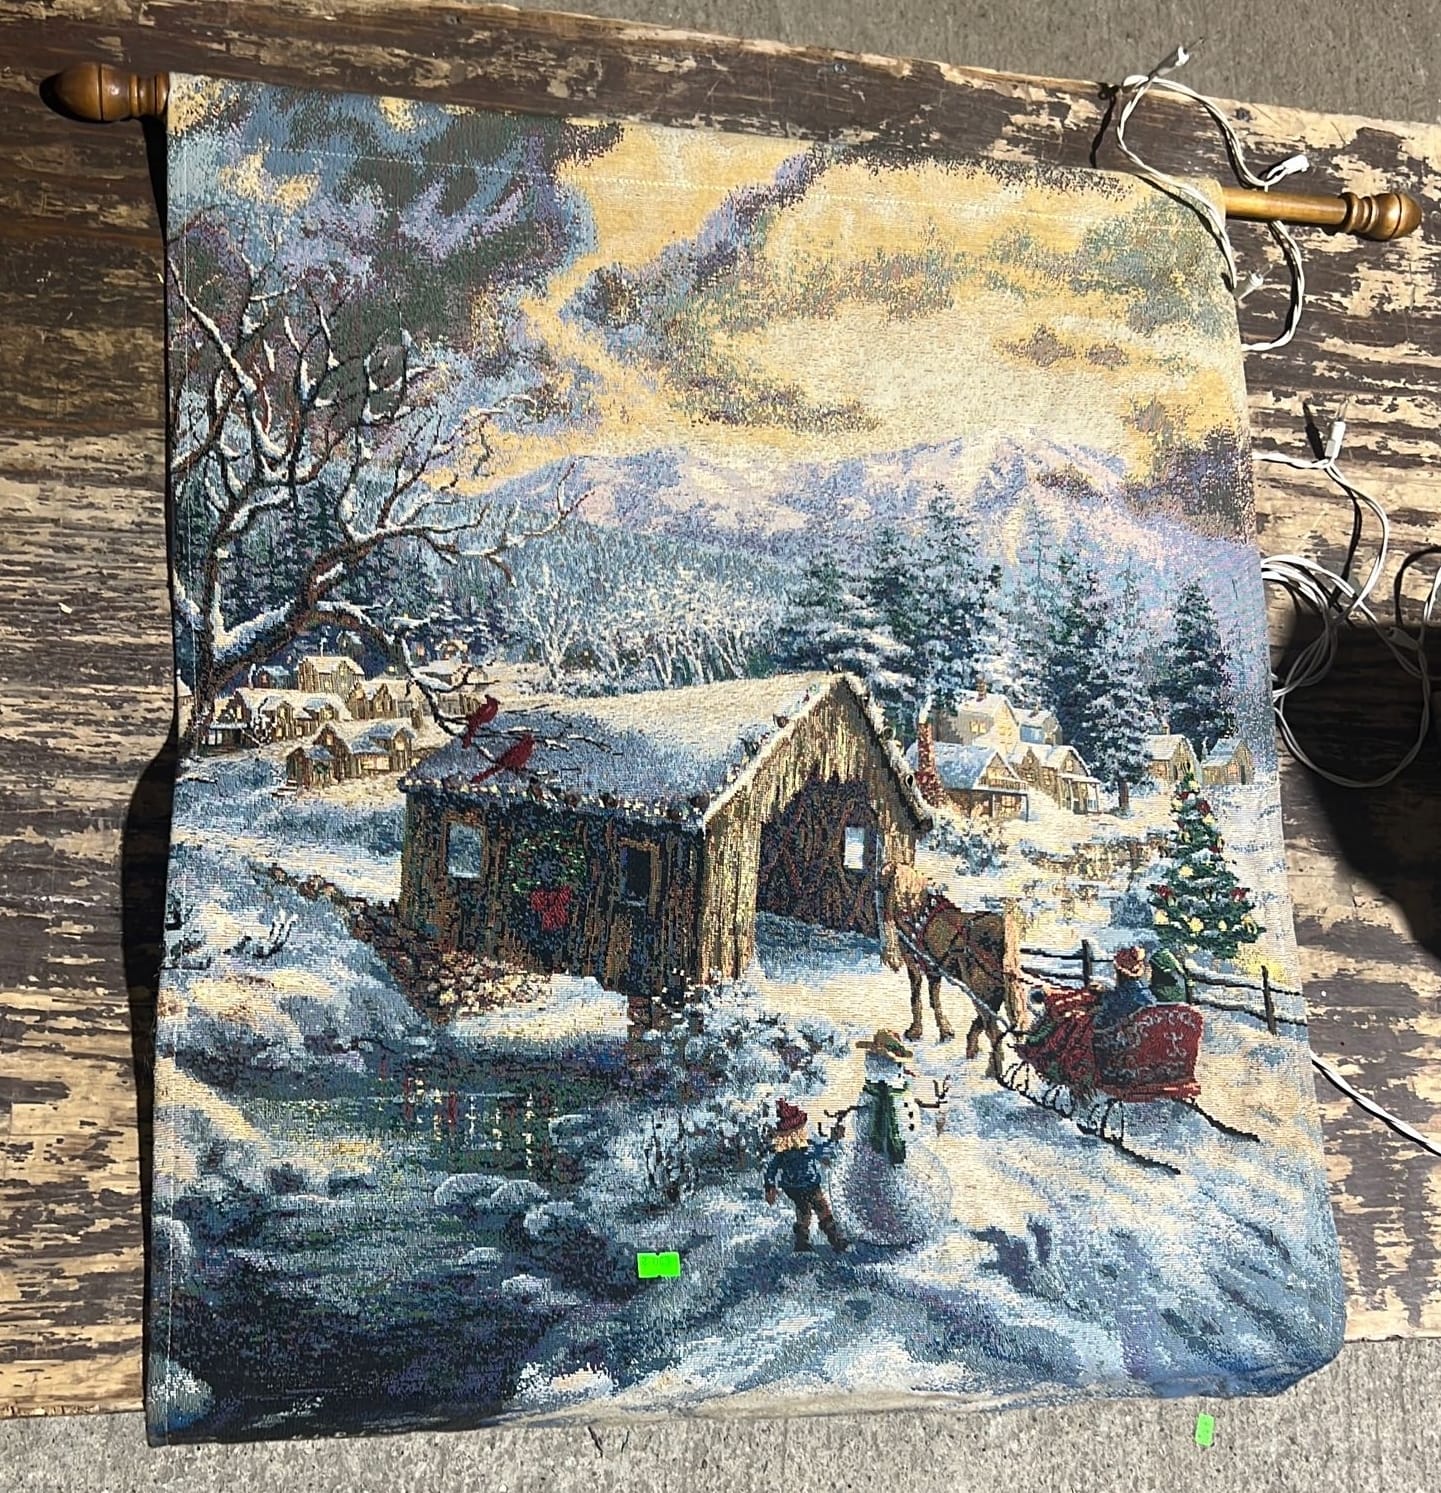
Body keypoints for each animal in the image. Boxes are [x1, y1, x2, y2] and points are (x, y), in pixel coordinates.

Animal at [880, 862, 1024, 1077]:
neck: (917, 910)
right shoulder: (934, 972)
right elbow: (935, 1002)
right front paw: (946, 1032)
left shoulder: (916, 967)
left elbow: (918, 1000)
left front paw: (916, 1031)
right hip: (992, 996)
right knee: (986, 1025)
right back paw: (975, 1052)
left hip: (981, 994)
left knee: (993, 1032)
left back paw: (992, 1071)